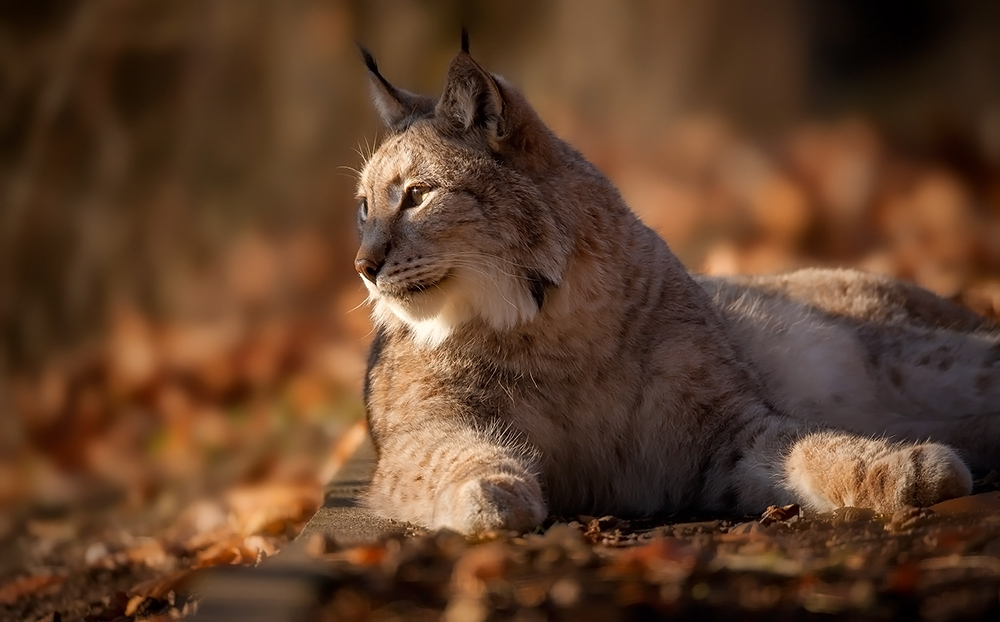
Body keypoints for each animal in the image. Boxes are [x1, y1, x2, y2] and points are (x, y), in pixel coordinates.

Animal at [356, 34, 996, 532]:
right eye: (363, 207)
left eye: (416, 196)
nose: (364, 266)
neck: (548, 322)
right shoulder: (419, 433)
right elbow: (446, 454)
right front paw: (488, 489)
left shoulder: (727, 432)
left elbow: (817, 444)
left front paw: (904, 469)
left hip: (930, 357)